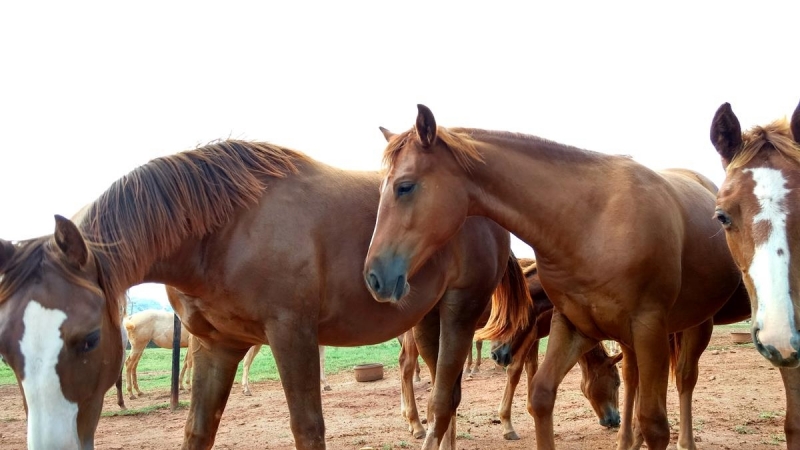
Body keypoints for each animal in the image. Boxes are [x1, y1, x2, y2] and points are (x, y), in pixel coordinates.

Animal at [0, 138, 532, 450]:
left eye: (89, 339)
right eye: (7, 351)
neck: (223, 230)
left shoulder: (291, 334)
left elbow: (308, 428)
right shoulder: (215, 344)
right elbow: (198, 429)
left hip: (462, 308)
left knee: (444, 398)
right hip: (426, 319)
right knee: (446, 396)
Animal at [366, 104, 748, 450]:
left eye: (404, 187)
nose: (373, 276)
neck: (588, 222)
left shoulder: (648, 328)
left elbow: (654, 424)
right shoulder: (574, 325)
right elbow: (541, 395)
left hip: (692, 327)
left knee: (683, 380)